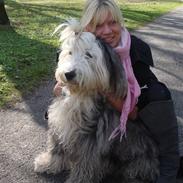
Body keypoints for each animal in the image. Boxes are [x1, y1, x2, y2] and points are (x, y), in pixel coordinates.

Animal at [34, 19, 159, 183]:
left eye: (88, 55)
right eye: (70, 52)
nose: (69, 73)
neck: (80, 95)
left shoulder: (93, 138)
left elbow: (85, 163)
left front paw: (78, 180)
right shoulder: (60, 123)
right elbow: (57, 148)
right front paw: (47, 164)